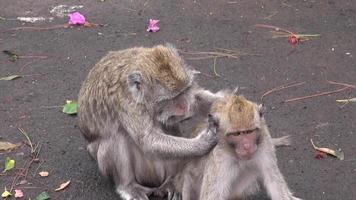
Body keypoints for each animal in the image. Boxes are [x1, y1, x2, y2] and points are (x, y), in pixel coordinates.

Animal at [77, 44, 222, 200]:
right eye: (170, 99)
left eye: (184, 91)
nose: (184, 106)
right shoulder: (128, 104)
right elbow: (148, 141)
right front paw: (203, 142)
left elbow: (197, 98)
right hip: (144, 173)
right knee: (117, 137)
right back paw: (128, 186)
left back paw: (170, 181)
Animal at [174, 92, 302, 200]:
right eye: (236, 134)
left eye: (249, 131)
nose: (247, 146)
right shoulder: (219, 157)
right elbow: (211, 196)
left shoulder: (265, 144)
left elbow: (274, 182)